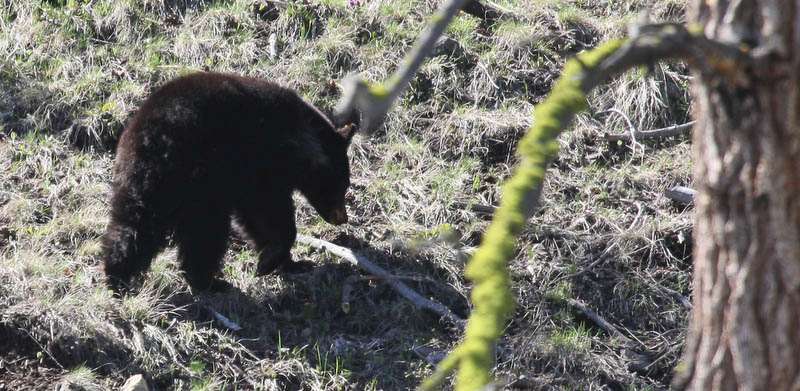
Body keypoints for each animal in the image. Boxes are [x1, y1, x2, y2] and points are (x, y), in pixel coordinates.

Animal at [101, 72, 356, 292]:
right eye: (341, 185)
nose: (342, 218)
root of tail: (150, 138)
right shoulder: (259, 167)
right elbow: (269, 213)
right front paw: (271, 260)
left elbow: (254, 221)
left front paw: (288, 262)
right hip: (198, 181)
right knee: (204, 232)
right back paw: (209, 282)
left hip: (139, 183)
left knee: (132, 223)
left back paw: (117, 275)